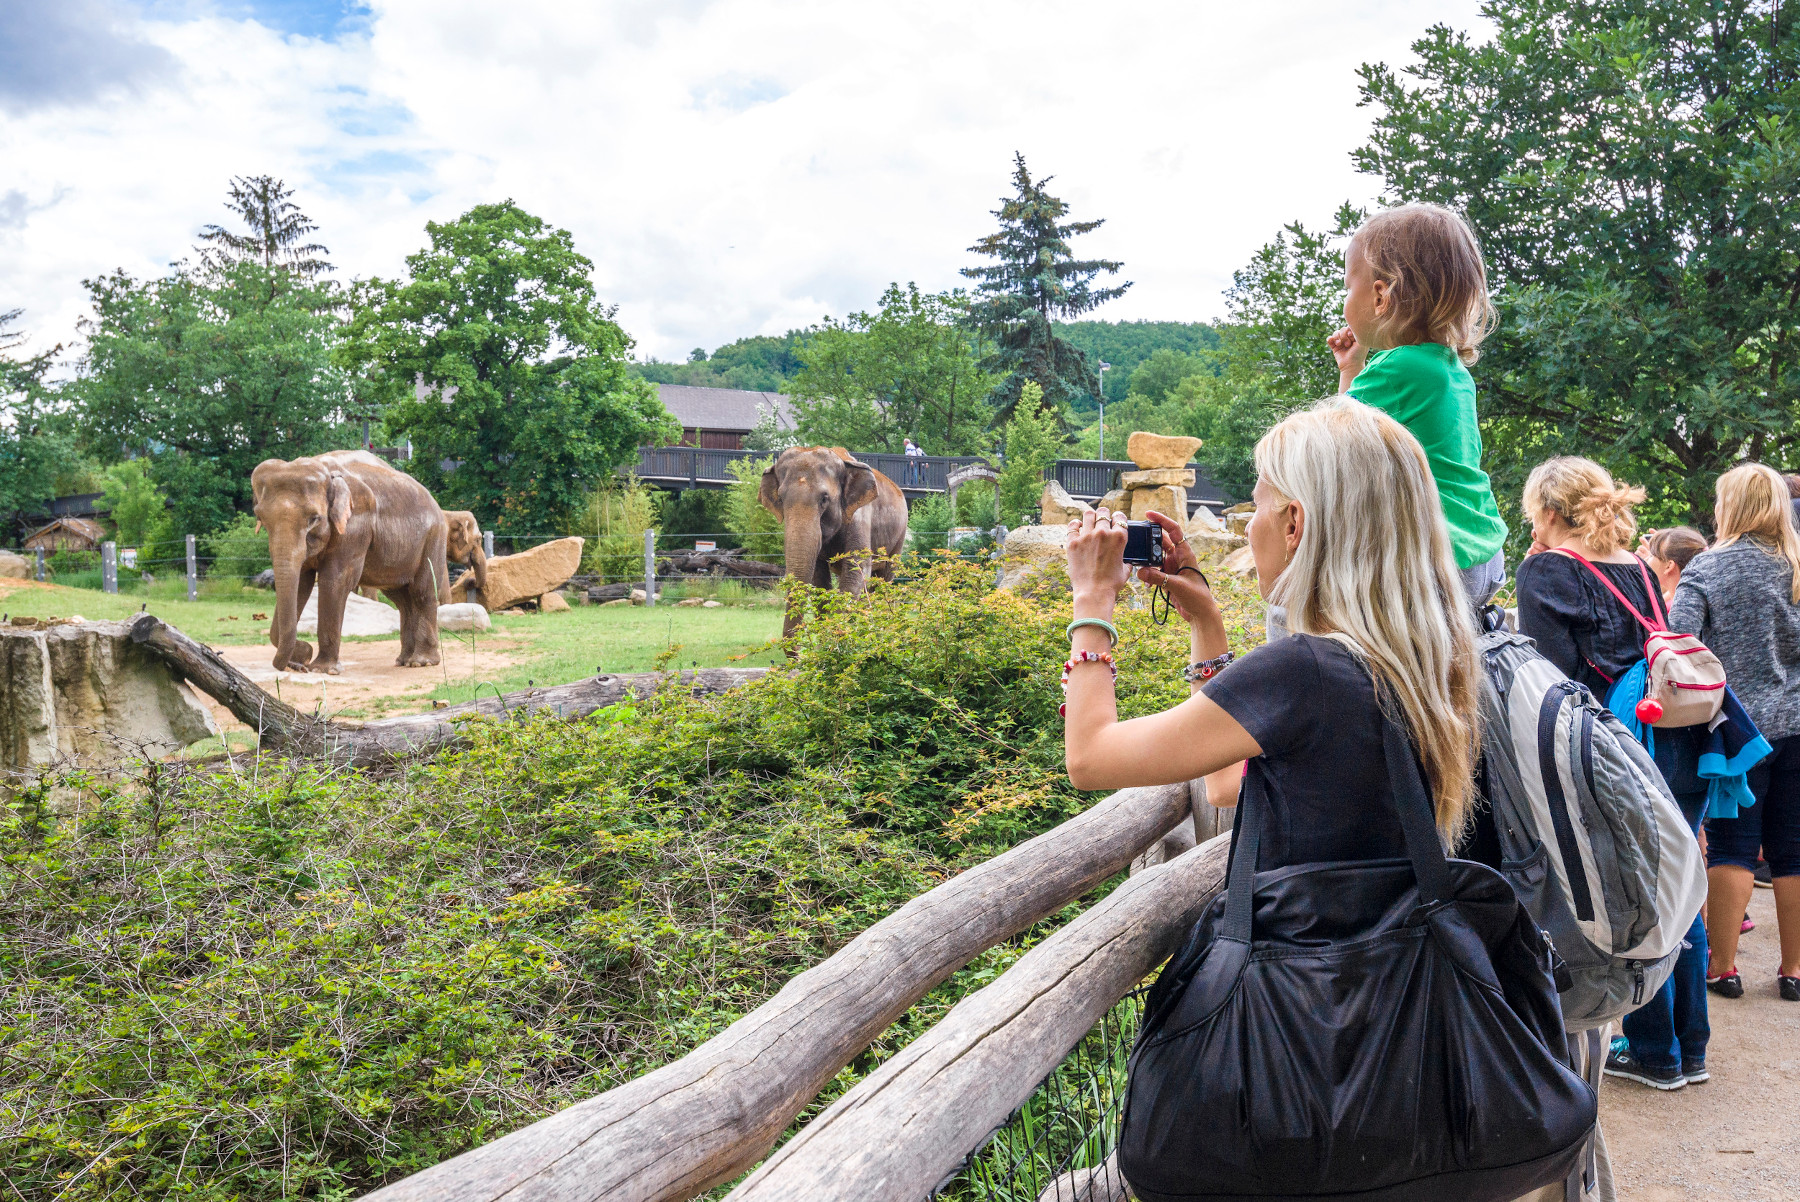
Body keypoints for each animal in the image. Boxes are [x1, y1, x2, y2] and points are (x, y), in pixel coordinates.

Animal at [253, 449, 450, 676]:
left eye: (314, 519)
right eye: (261, 518)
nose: (300, 663)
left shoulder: (355, 525)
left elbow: (334, 581)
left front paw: (323, 669)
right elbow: (302, 582)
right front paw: (303, 659)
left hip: (434, 537)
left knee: (422, 592)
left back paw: (422, 662)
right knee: (401, 598)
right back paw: (404, 660)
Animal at [759, 448, 907, 636]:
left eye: (824, 498)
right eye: (781, 498)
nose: (797, 648)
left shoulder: (859, 515)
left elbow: (855, 570)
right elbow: (819, 577)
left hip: (899, 537)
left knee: (884, 578)